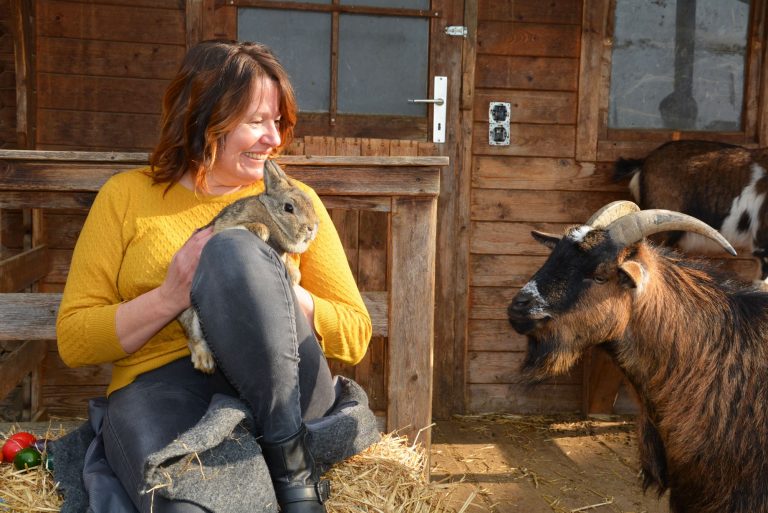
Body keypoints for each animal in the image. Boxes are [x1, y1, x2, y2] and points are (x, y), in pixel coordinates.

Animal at [179, 160, 318, 372]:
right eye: (289, 207)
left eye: (310, 203)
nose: (312, 228)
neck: (270, 215)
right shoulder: (229, 224)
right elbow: (255, 228)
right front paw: (260, 230)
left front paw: (294, 277)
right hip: (193, 316)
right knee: (193, 337)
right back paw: (205, 362)